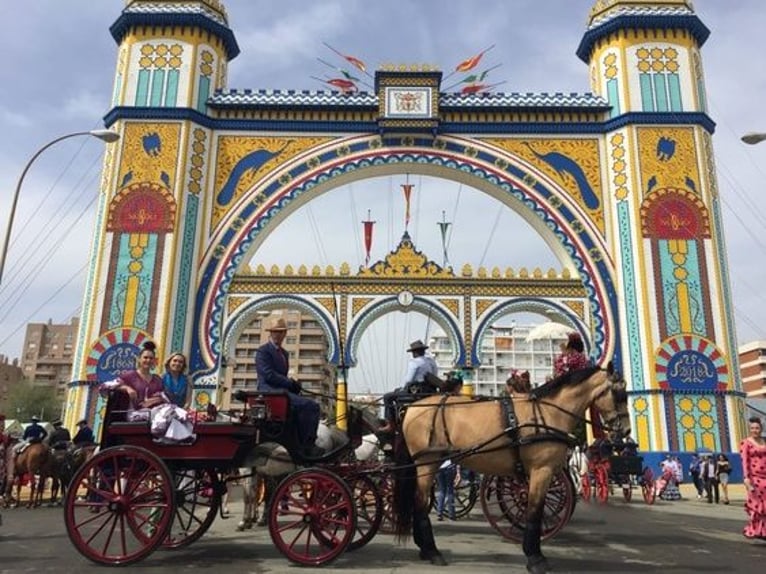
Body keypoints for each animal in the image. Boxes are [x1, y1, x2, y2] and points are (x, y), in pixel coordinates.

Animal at [392, 366, 632, 572]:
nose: (626, 431)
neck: (547, 413)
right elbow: (534, 510)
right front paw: (535, 558)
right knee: (420, 503)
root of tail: (411, 408)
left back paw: (424, 549)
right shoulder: (541, 470)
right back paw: (432, 551)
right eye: (619, 393)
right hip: (427, 462)